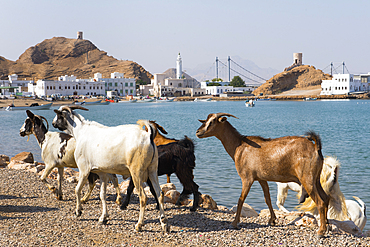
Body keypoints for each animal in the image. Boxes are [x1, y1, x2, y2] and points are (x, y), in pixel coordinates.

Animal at [197, 112, 330, 237]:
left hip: (307, 178)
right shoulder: (261, 178)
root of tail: (315, 147)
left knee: (320, 202)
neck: (239, 146)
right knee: (326, 198)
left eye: (212, 122)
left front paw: (234, 223)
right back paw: (327, 226)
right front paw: (272, 220)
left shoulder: (247, 177)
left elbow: (241, 199)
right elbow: (267, 198)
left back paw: (321, 231)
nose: (198, 132)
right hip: (316, 178)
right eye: (205, 120)